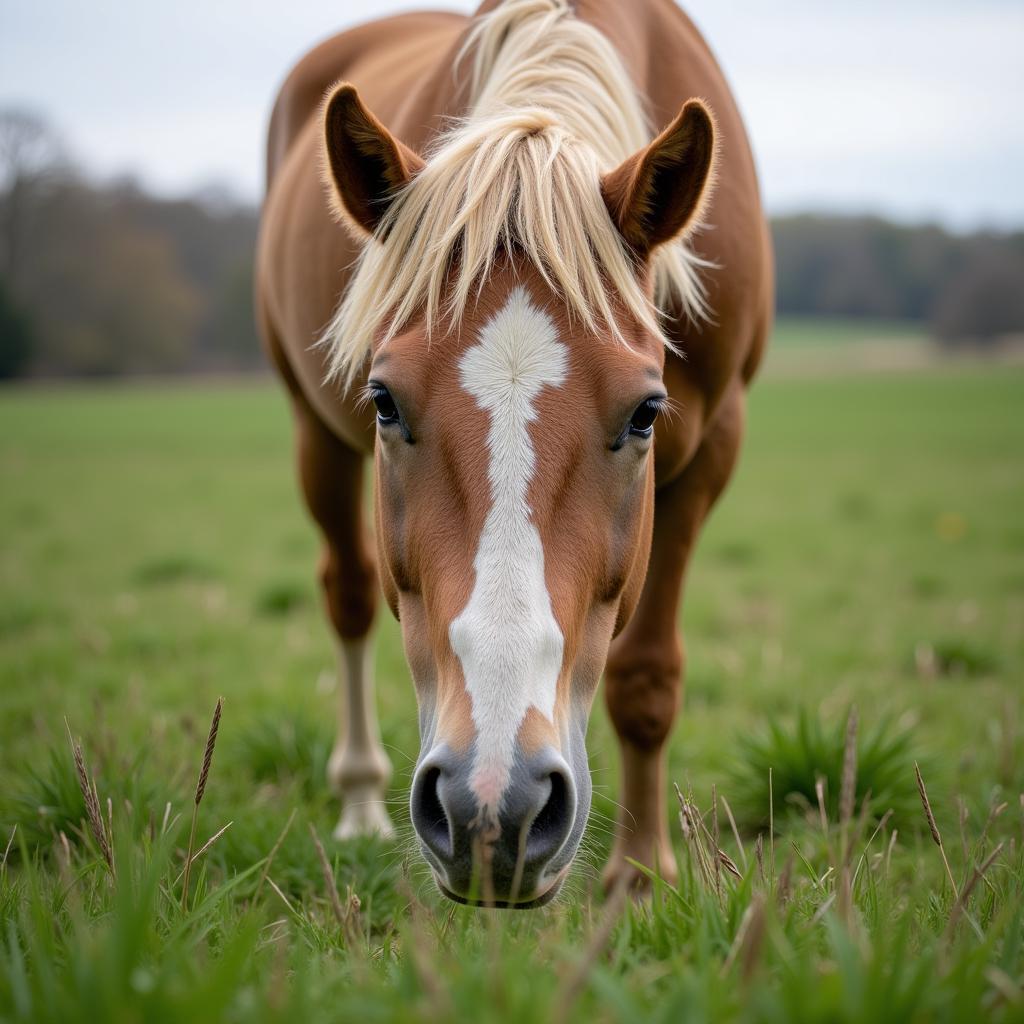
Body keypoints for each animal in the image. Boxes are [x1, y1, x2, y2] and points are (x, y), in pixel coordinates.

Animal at [256, 0, 770, 909]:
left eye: (646, 414)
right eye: (385, 400)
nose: (491, 804)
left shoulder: (711, 454)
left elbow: (646, 677)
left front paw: (641, 876)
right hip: (313, 433)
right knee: (347, 594)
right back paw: (358, 799)